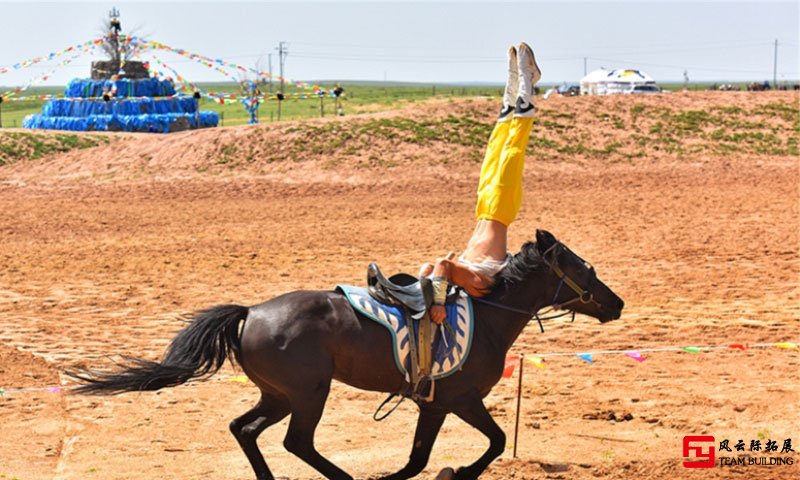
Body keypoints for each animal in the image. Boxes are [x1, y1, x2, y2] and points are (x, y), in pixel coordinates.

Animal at [73, 231, 624, 478]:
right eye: (585, 267)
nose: (616, 303)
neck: (487, 316)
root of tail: (251, 312)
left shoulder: (437, 404)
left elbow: (440, 453)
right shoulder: (454, 401)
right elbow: (473, 447)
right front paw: (457, 472)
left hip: (279, 395)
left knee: (245, 430)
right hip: (308, 394)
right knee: (296, 442)